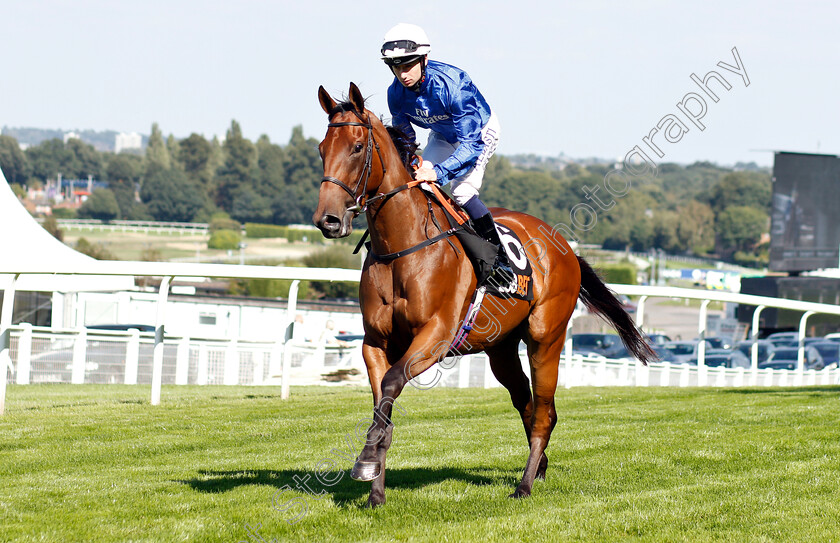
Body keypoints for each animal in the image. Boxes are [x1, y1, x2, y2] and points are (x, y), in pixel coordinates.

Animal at [316, 83, 656, 508]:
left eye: (358, 147)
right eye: (321, 148)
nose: (328, 220)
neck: (403, 247)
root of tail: (564, 246)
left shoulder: (434, 338)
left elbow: (392, 386)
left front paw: (366, 463)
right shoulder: (375, 342)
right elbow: (383, 405)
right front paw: (375, 485)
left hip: (545, 339)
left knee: (543, 412)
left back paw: (524, 485)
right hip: (501, 350)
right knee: (528, 405)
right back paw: (539, 468)